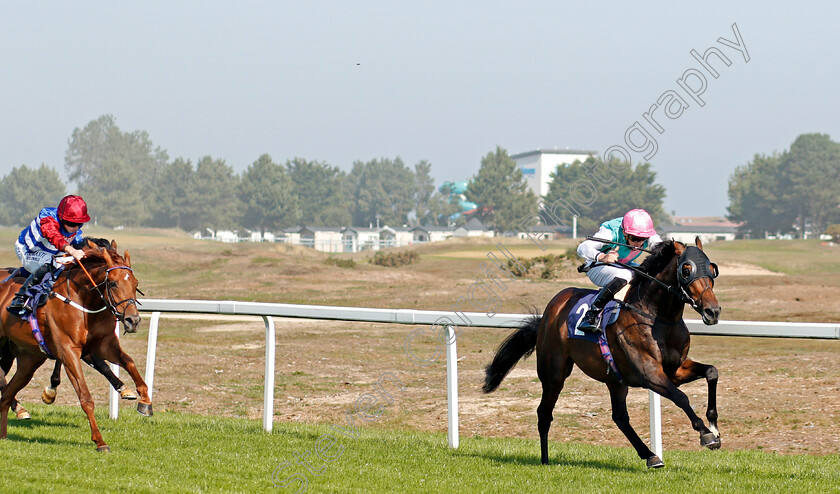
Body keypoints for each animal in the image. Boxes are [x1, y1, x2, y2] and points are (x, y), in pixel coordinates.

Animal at [0, 240, 151, 452]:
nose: (133, 321)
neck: (84, 300)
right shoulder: (69, 351)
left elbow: (128, 362)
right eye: (113, 283)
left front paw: (145, 402)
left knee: (6, 395)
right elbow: (85, 397)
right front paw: (100, 441)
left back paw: (5, 432)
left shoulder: (104, 345)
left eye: (135, 284)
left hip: (28, 360)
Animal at [486, 237, 720, 468]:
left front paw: (714, 426)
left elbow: (711, 372)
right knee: (544, 414)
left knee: (620, 417)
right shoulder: (650, 373)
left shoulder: (674, 370)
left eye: (711, 268)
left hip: (615, 379)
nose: (713, 311)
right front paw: (706, 434)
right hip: (554, 374)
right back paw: (545, 461)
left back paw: (650, 456)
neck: (657, 316)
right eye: (687, 270)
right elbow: (681, 397)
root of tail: (552, 308)